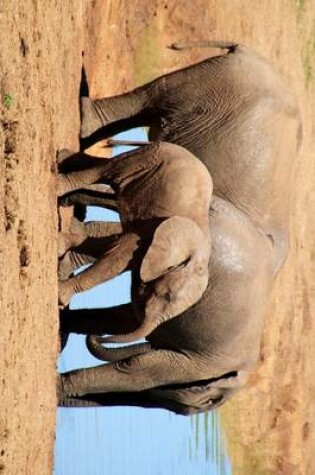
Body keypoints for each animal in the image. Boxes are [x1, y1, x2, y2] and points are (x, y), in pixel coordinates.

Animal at [58, 139, 214, 344]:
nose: (96, 337)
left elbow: (109, 248)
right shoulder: (151, 229)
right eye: (168, 295)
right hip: (147, 159)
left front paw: (60, 248)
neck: (201, 254)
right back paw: (57, 184)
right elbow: (117, 258)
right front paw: (61, 297)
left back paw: (61, 163)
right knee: (107, 171)